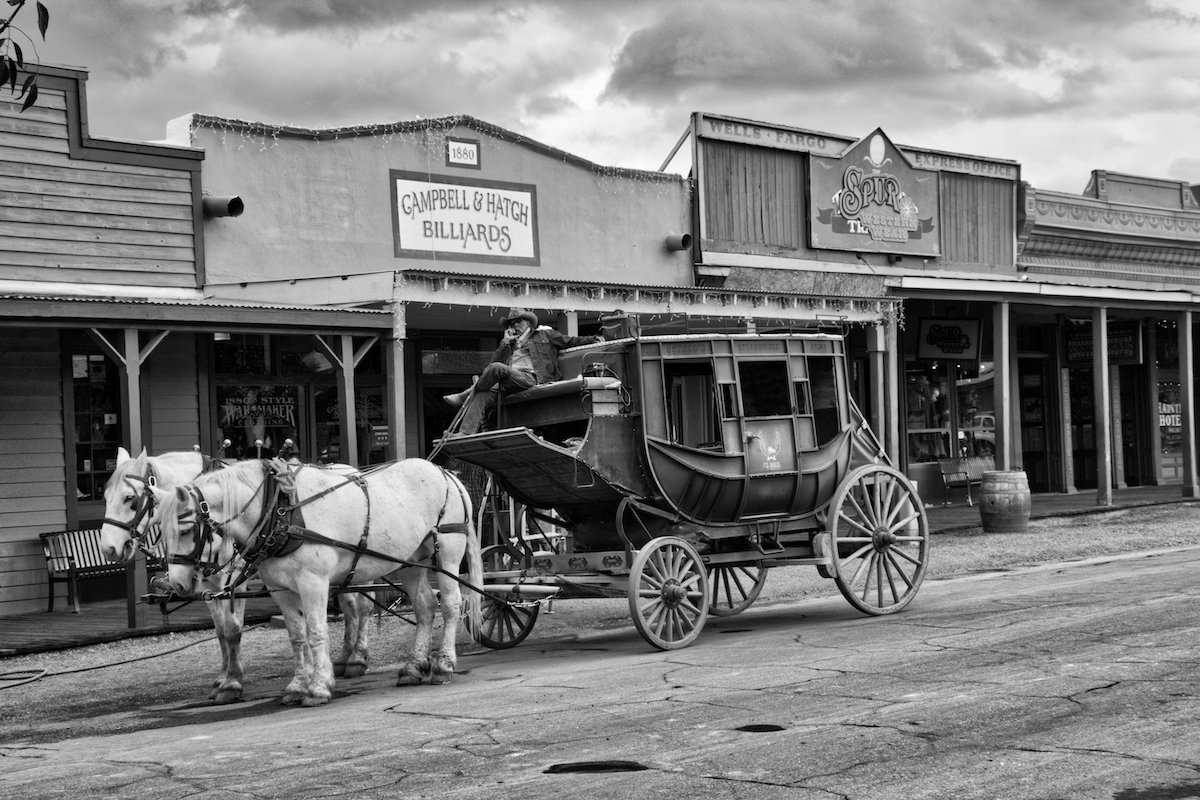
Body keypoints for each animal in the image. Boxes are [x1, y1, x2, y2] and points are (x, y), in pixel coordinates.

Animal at [102, 448, 374, 705]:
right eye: (104, 497)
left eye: (129, 498)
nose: (108, 548)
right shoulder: (209, 584)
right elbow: (221, 633)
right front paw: (222, 678)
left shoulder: (232, 580)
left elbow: (233, 630)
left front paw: (232, 683)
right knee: (349, 607)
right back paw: (344, 657)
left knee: (362, 607)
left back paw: (356, 658)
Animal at [154, 455, 482, 705]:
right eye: (160, 532)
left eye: (185, 530)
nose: (178, 585)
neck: (281, 510)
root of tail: (446, 473)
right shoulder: (280, 589)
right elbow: (297, 636)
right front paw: (297, 685)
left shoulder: (313, 582)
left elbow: (315, 631)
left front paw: (319, 686)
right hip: (413, 561)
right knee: (425, 606)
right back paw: (412, 668)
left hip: (448, 552)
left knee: (451, 604)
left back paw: (443, 665)